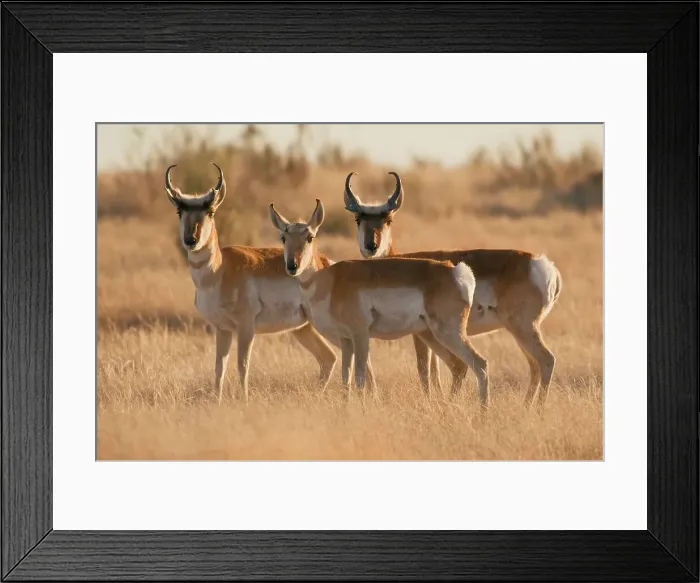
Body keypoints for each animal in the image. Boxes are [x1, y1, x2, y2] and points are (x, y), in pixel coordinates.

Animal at [165, 162, 361, 403]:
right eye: (180, 210)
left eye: (210, 211)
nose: (190, 240)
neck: (219, 270)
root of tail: (327, 263)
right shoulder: (222, 329)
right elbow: (219, 368)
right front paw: (217, 401)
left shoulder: (245, 327)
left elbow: (243, 365)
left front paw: (244, 400)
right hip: (303, 328)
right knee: (329, 357)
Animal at [268, 198, 491, 410]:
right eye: (284, 238)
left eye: (310, 237)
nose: (292, 266)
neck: (330, 279)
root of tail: (455, 270)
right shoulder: (346, 340)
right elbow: (345, 379)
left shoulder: (360, 335)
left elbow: (359, 378)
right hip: (430, 335)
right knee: (459, 365)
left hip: (448, 333)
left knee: (480, 364)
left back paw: (482, 412)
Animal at [343, 171, 563, 410]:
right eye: (358, 219)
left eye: (388, 219)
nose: (371, 247)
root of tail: (540, 262)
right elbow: (434, 371)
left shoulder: (419, 335)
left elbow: (425, 370)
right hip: (518, 331)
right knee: (534, 366)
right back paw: (526, 408)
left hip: (522, 327)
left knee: (546, 360)